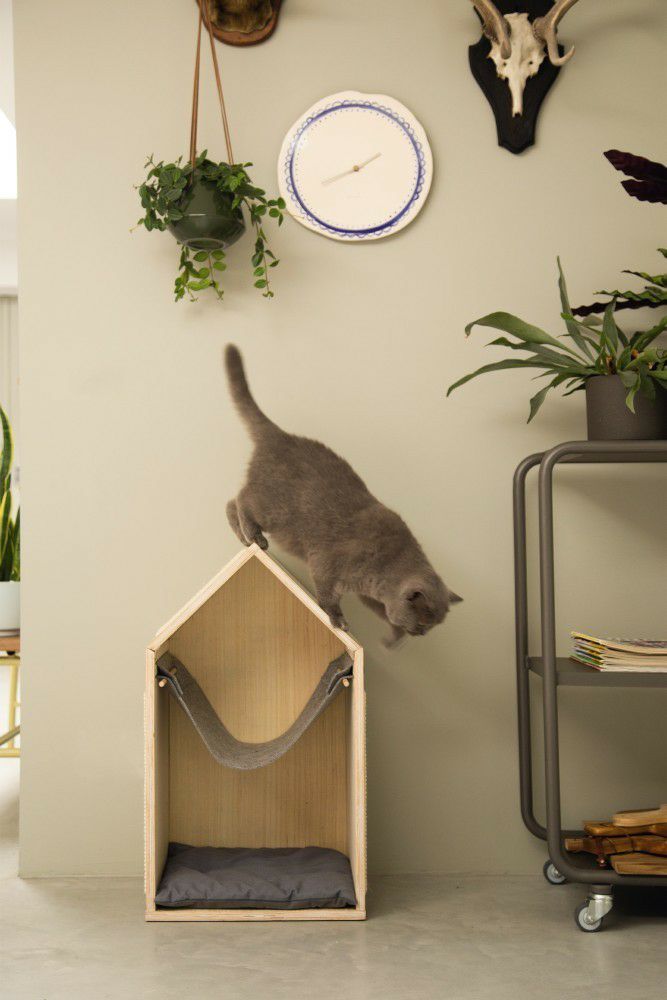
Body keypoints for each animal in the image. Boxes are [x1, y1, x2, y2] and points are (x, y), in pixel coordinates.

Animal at [224, 345, 463, 645]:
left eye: (432, 625)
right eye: (422, 621)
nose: (420, 633)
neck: (387, 567)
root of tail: (280, 435)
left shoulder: (369, 595)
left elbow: (384, 613)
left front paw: (392, 639)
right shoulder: (327, 564)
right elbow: (328, 596)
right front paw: (338, 621)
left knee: (230, 502)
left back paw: (243, 537)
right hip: (275, 510)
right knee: (242, 499)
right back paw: (254, 535)